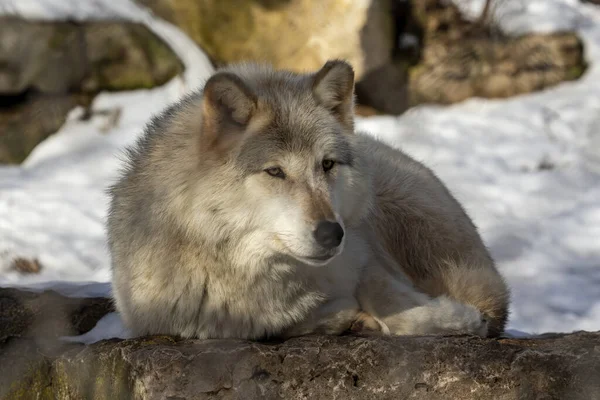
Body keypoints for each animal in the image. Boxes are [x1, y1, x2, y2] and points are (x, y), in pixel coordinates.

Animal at [109, 59, 510, 340]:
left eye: (327, 164)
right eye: (275, 172)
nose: (333, 234)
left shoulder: (368, 261)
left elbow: (394, 306)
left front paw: (457, 318)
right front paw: (344, 317)